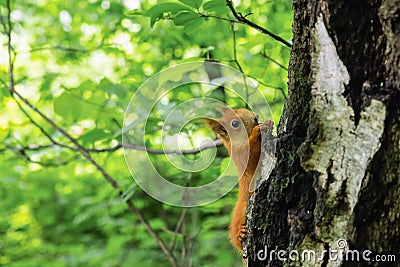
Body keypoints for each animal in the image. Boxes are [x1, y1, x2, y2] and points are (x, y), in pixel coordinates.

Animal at [205, 108, 274, 252]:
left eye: (244, 109)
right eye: (235, 124)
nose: (255, 116)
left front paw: (268, 123)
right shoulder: (241, 157)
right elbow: (252, 157)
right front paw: (258, 130)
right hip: (242, 207)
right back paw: (239, 233)